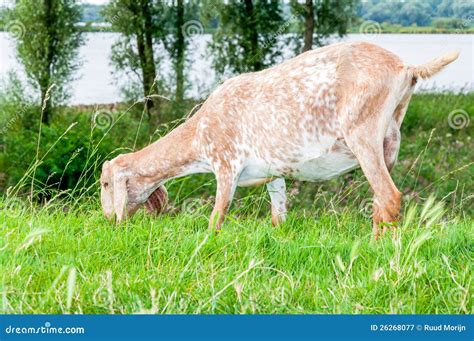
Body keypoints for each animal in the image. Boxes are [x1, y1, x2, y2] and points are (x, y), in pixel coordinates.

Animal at [101, 41, 460, 238]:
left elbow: (217, 216)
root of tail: (406, 67)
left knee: (390, 197)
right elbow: (279, 217)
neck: (200, 131)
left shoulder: (226, 164)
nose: (108, 221)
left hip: (363, 134)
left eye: (105, 184)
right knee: (379, 202)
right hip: (389, 141)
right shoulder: (274, 173)